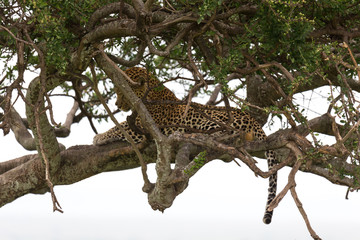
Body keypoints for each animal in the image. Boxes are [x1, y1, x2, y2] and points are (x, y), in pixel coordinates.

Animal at [93, 66, 278, 224]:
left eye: (121, 92)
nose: (117, 105)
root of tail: (252, 119)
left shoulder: (143, 125)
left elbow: (120, 126)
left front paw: (99, 137)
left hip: (207, 119)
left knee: (230, 132)